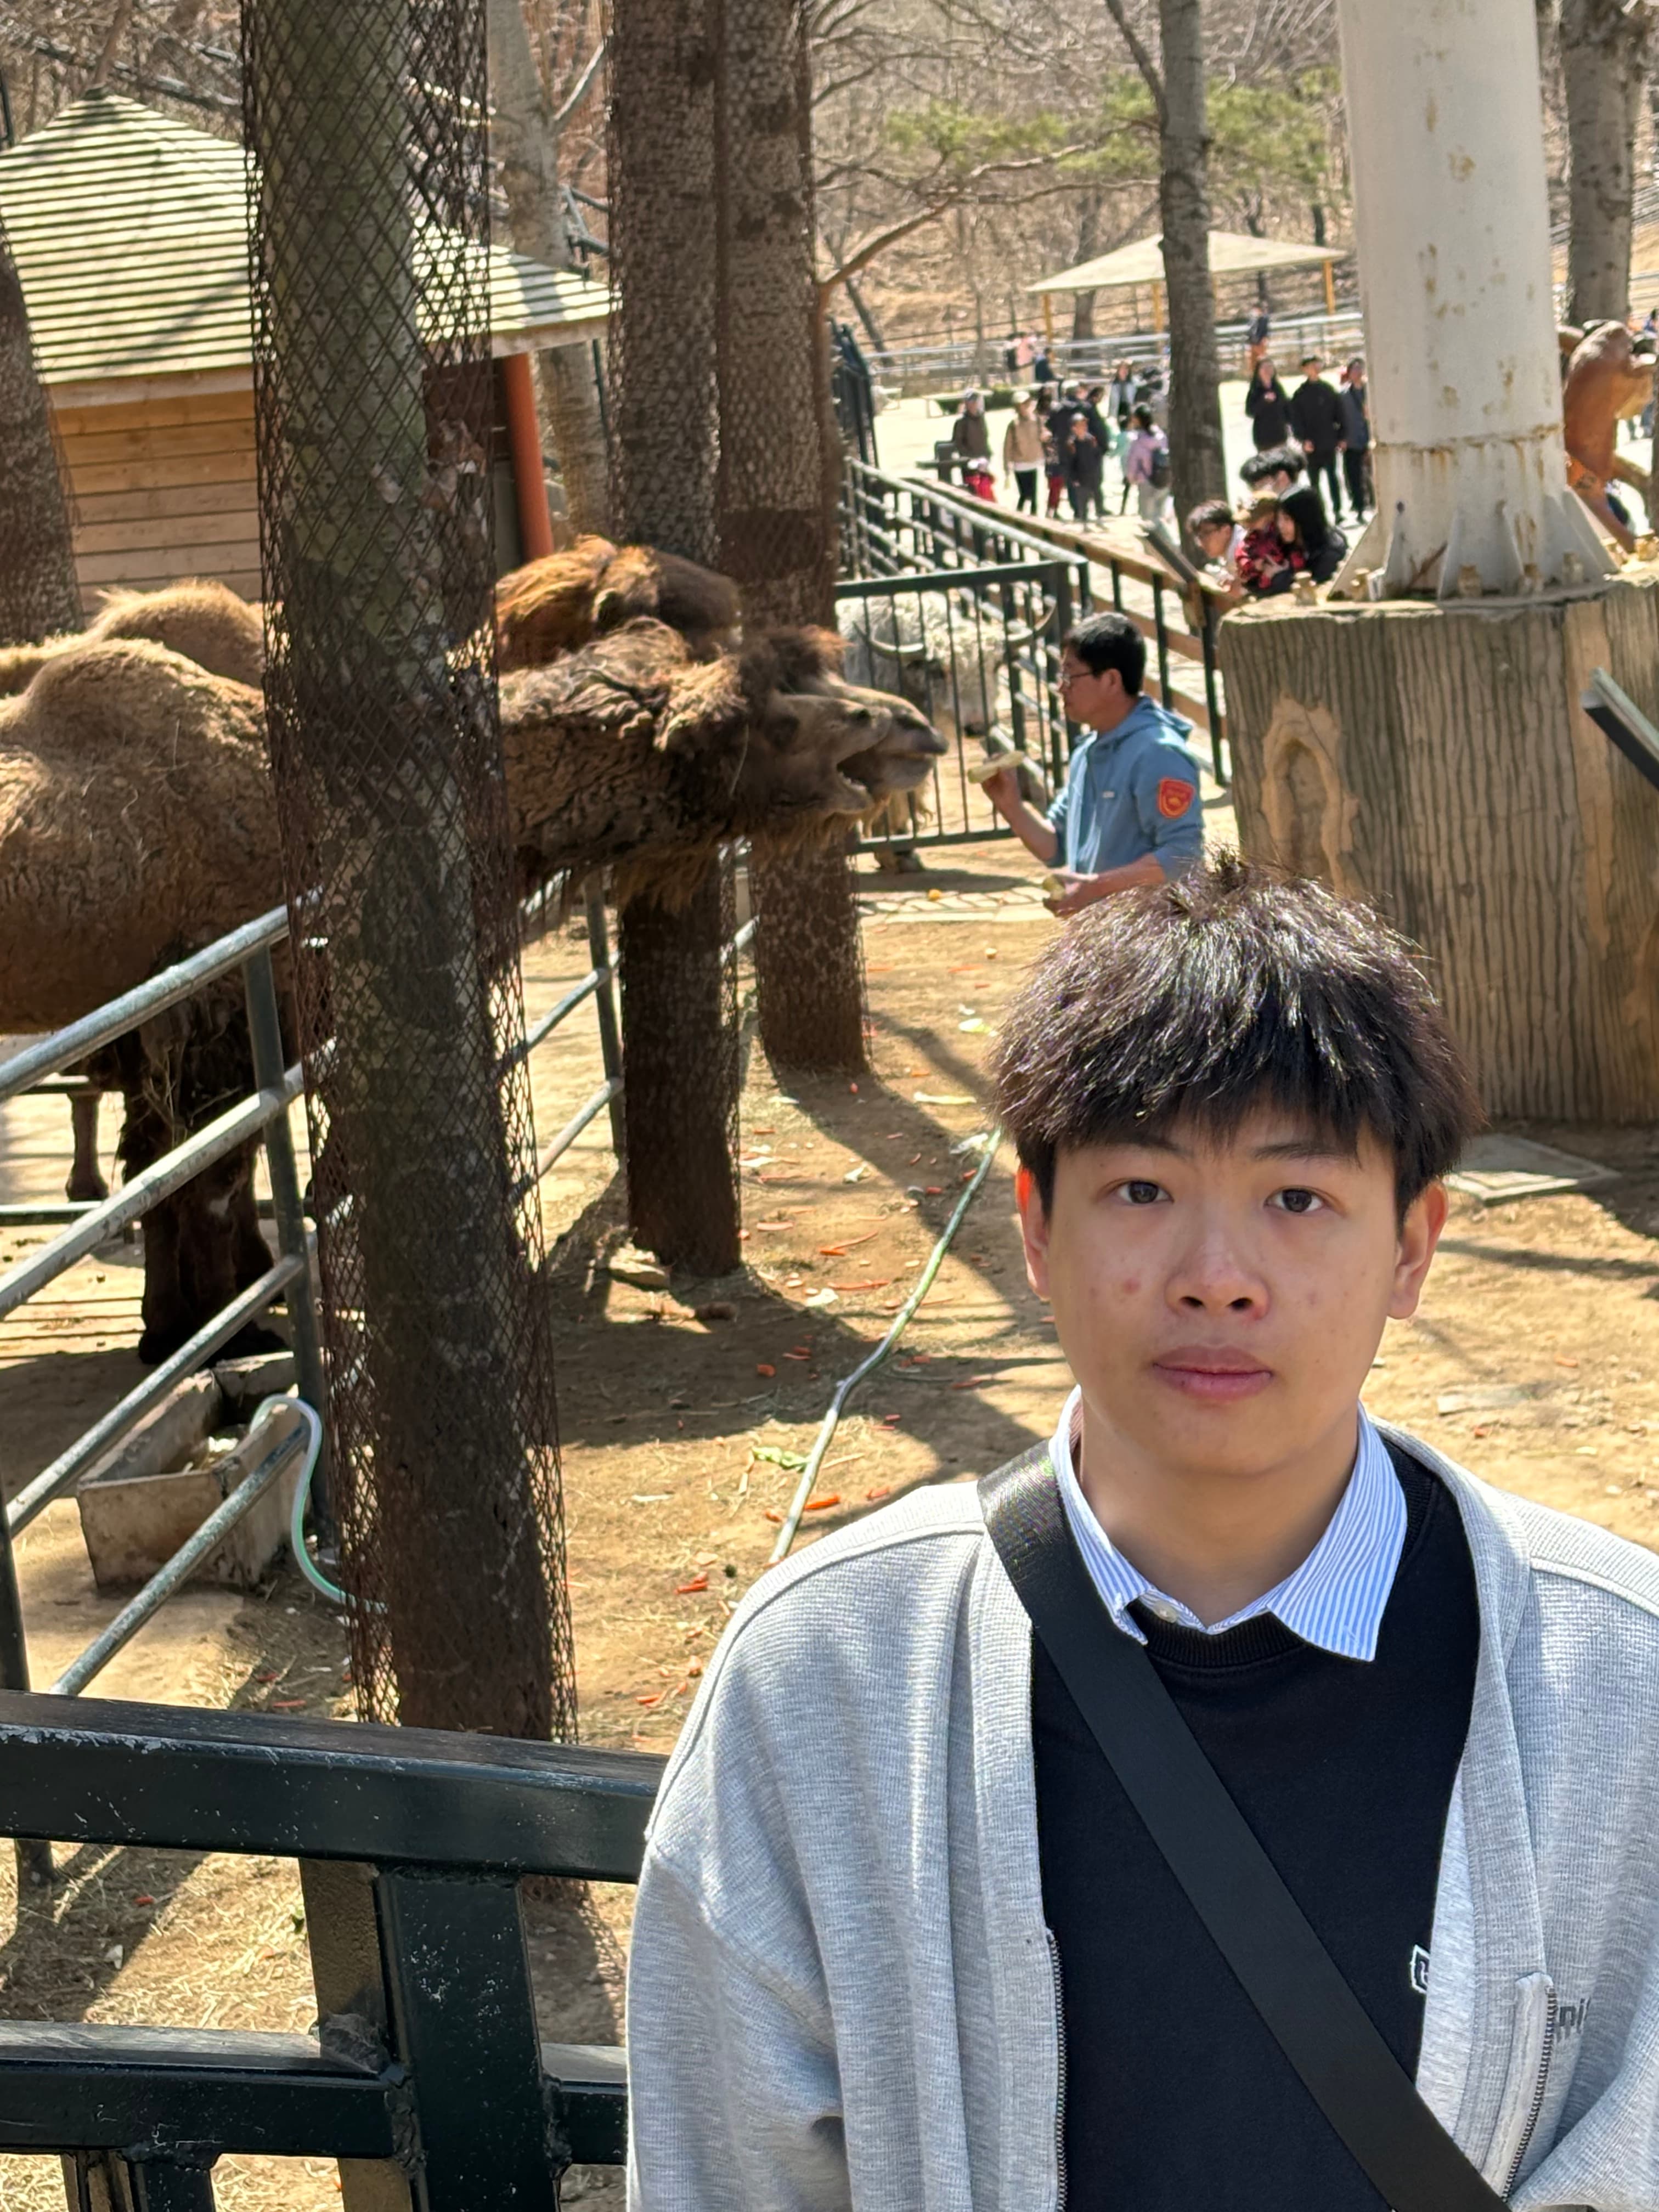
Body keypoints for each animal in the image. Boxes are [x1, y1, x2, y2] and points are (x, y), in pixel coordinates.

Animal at [1, 552, 943, 1357]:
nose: (916, 730)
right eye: (781, 721)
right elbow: (207, 1178)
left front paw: (180, 1331)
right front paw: (225, 1341)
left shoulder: (187, 1023)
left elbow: (172, 1170)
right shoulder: (223, 1009)